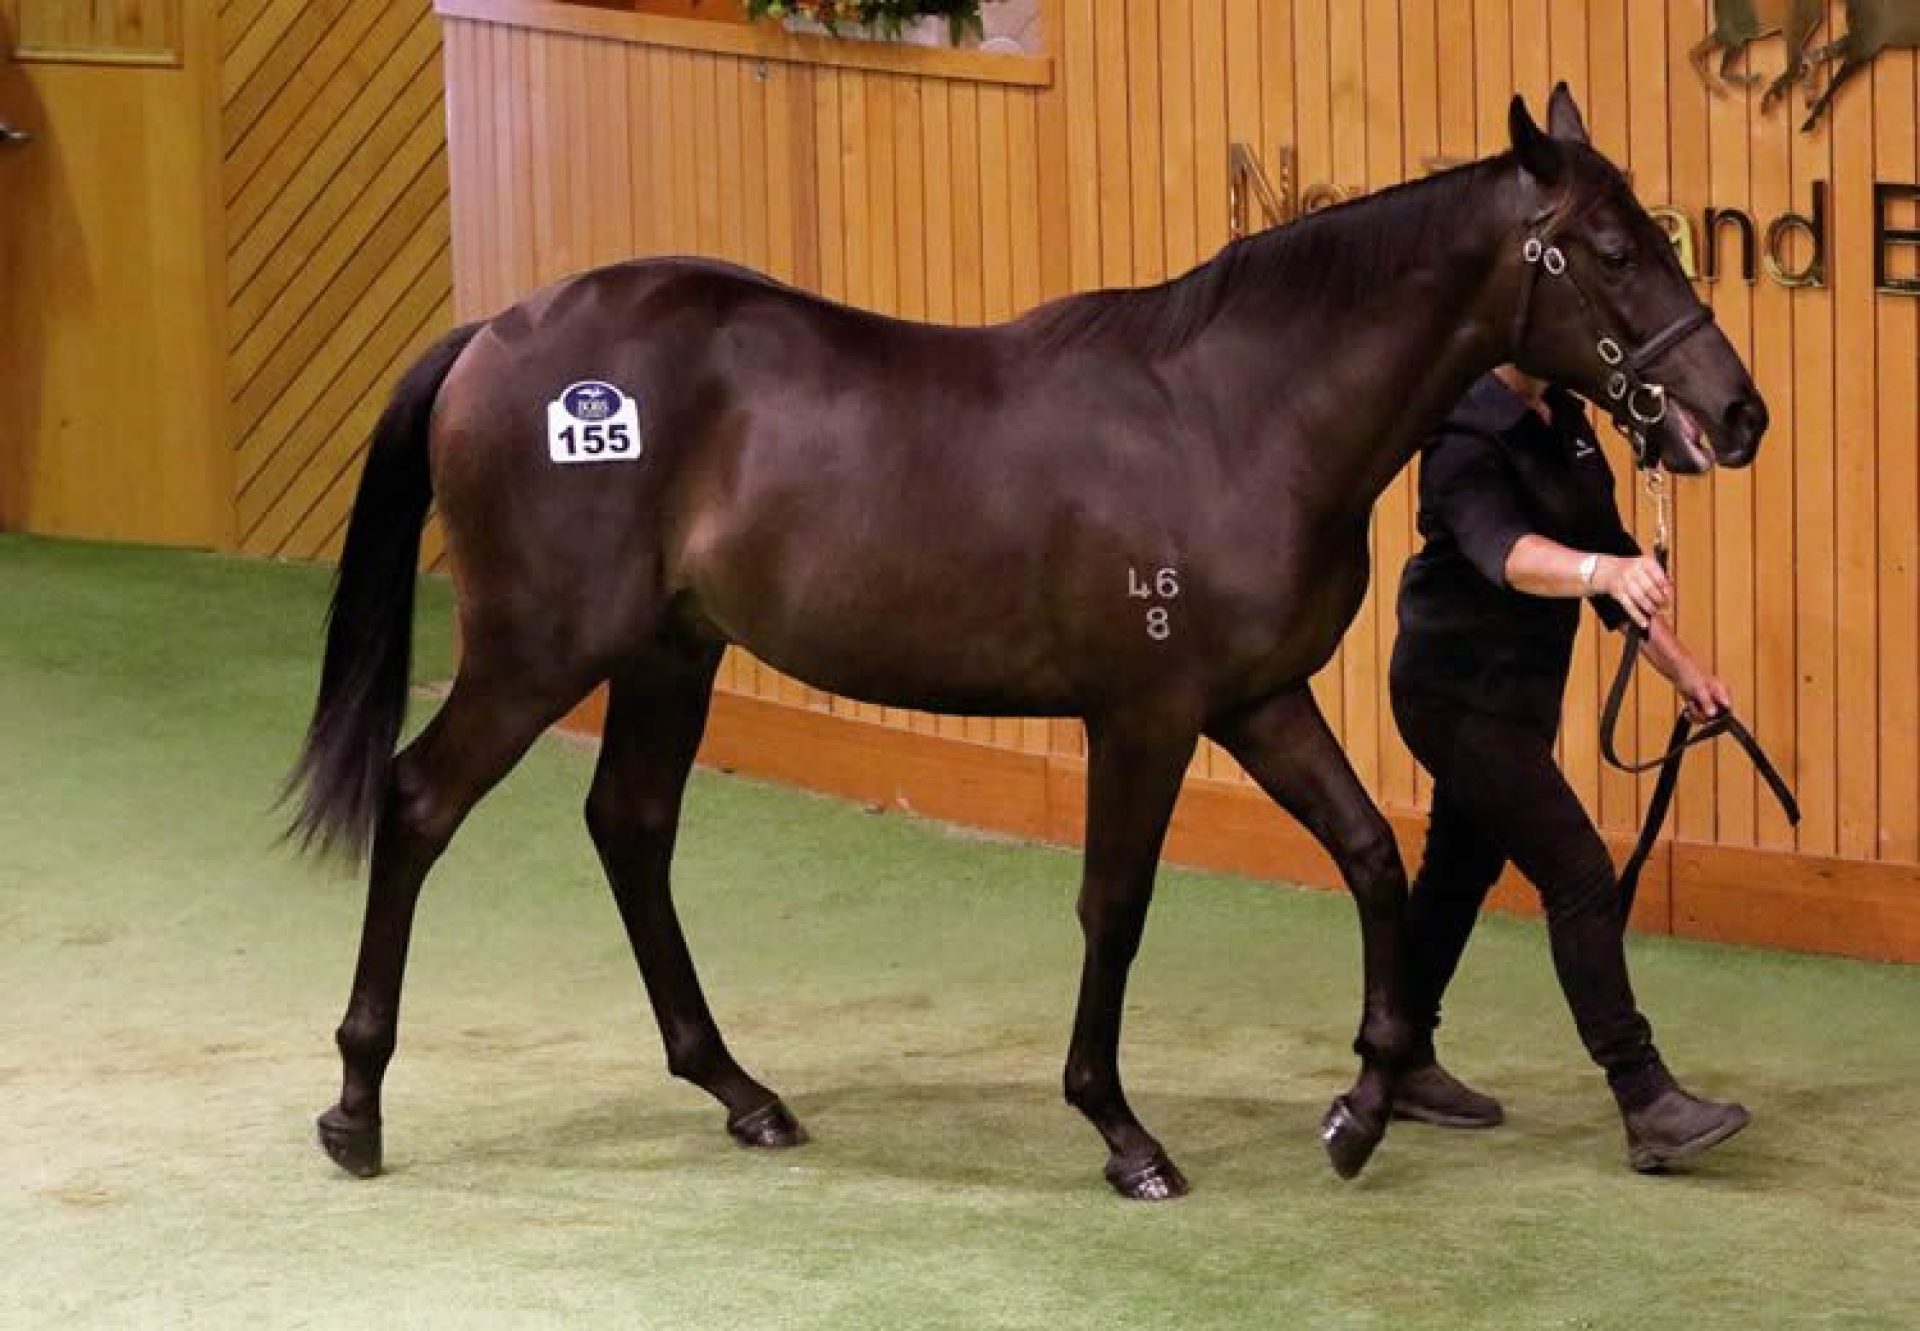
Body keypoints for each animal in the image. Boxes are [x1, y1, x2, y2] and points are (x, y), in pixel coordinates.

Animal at [288, 88, 1766, 1198]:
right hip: (538, 651)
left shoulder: (1259, 697)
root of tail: (495, 334)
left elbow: (1371, 855)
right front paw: (1122, 1131)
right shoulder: (1147, 712)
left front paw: (1360, 1109)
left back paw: (743, 1090)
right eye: (1614, 250)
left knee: (630, 825)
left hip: (668, 649)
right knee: (418, 803)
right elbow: (1116, 900)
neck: (1233, 414)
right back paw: (356, 1103)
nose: (1736, 413)